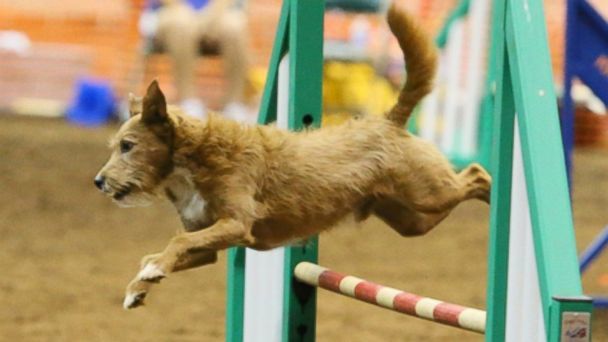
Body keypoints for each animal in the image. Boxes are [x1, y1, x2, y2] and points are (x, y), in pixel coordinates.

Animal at [96, 4, 494, 310]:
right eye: (115, 146)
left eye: (128, 145)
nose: (98, 181)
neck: (192, 159)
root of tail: (388, 119)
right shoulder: (207, 239)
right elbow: (164, 252)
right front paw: (138, 287)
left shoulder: (235, 224)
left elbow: (176, 243)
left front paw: (147, 275)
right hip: (411, 220)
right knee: (458, 193)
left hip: (428, 192)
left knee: (476, 174)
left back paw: (498, 193)